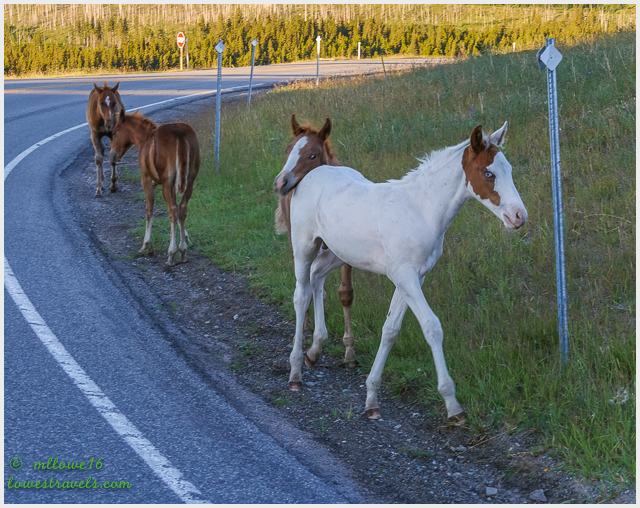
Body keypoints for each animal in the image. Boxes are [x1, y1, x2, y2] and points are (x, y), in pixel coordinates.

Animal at [110, 112, 200, 266]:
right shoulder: (167, 184)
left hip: (167, 182)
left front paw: (146, 245)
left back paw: (171, 253)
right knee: (182, 208)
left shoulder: (146, 179)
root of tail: (180, 135)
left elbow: (149, 209)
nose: (112, 155)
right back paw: (183, 251)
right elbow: (178, 211)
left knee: (173, 210)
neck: (144, 139)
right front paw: (187, 238)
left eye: (116, 132)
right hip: (189, 181)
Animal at [273, 114, 358, 369]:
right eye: (288, 149)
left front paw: (349, 350)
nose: (280, 183)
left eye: (312, 155)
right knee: (306, 283)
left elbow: (346, 293)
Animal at [283, 122, 527, 423]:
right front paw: (452, 404)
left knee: (317, 277)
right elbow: (432, 327)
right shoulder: (405, 275)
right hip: (304, 246)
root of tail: (312, 175)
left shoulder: (412, 277)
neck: (421, 210)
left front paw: (372, 398)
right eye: (488, 172)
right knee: (301, 294)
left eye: (510, 169)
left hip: (338, 254)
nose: (519, 216)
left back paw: (315, 349)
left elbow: (390, 329)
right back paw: (295, 371)